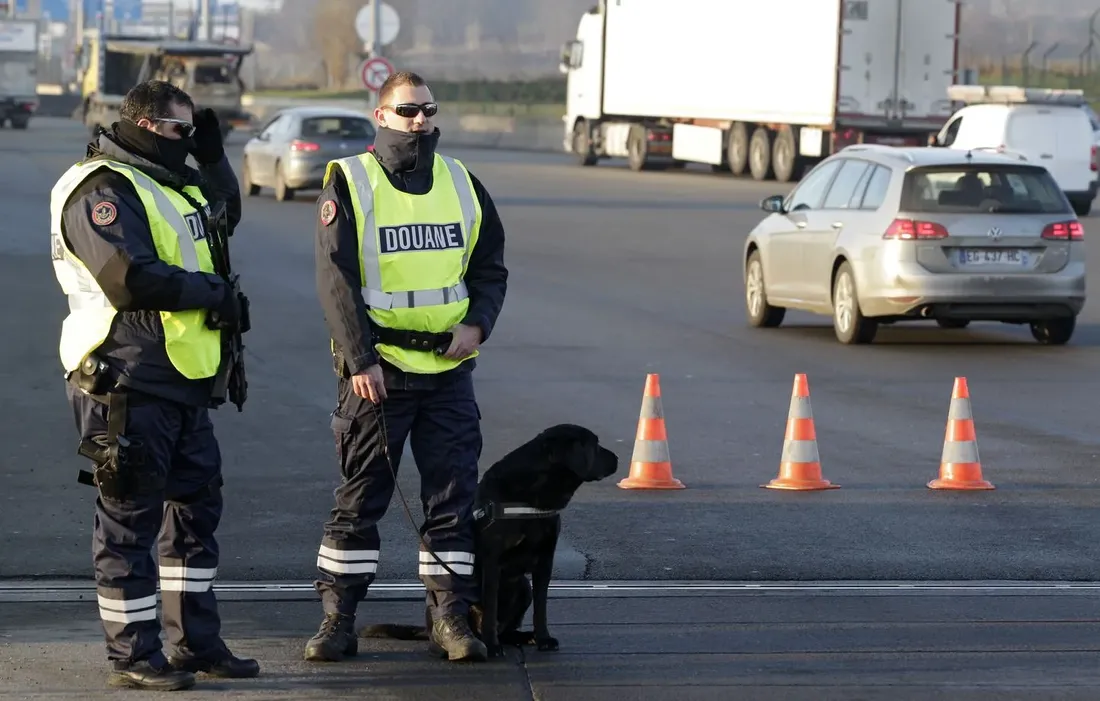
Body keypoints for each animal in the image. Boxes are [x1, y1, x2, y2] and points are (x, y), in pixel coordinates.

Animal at [358, 420, 620, 655]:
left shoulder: (546, 560)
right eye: (595, 445)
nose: (617, 459)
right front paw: (492, 646)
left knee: (508, 628)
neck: (531, 496)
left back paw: (524, 636)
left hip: (523, 587)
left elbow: (541, 606)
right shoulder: (493, 560)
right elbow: (491, 605)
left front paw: (543, 638)